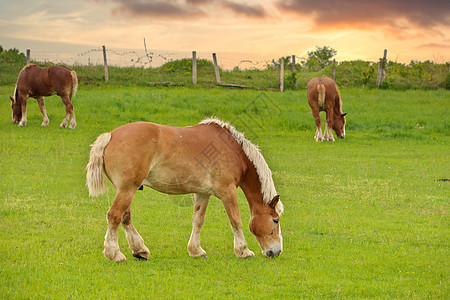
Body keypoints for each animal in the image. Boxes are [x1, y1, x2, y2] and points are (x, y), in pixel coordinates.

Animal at [86, 118, 284, 262]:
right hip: (127, 189)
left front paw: (196, 250)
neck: (233, 150)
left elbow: (198, 220)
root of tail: (110, 135)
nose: (277, 251)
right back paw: (115, 254)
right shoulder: (227, 191)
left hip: (126, 190)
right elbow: (236, 220)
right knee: (114, 216)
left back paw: (139, 250)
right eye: (275, 220)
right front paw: (243, 251)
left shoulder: (203, 193)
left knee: (125, 217)